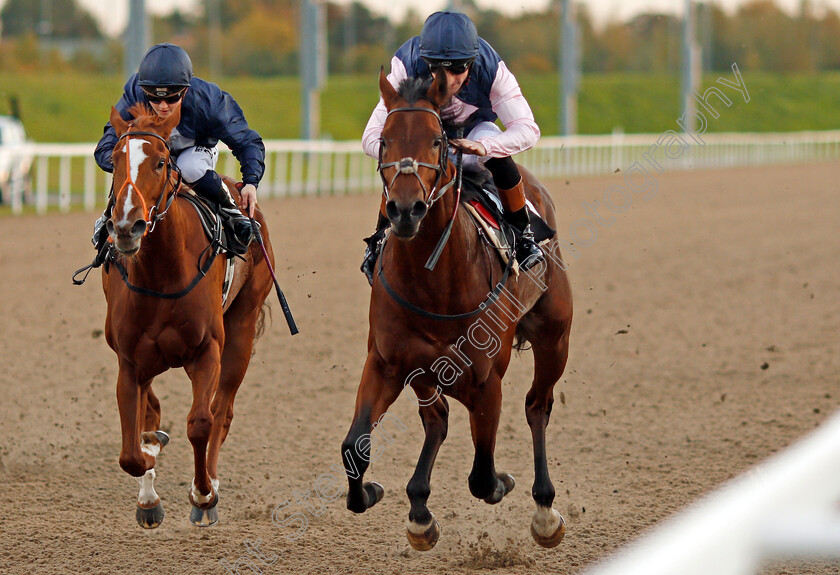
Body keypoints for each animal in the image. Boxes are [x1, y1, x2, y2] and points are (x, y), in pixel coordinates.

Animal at [101, 102, 272, 528]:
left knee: (222, 411)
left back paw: (209, 481)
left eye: (160, 162)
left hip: (241, 330)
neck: (162, 273)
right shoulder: (130, 359)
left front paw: (203, 494)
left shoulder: (206, 350)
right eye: (115, 160)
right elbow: (132, 448)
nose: (126, 226)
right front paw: (149, 488)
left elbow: (200, 423)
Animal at [340, 70, 572, 552]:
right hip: (425, 371)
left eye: (436, 141)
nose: (404, 210)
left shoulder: (486, 382)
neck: (434, 283)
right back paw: (419, 508)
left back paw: (545, 509)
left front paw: (504, 481)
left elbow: (482, 476)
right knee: (437, 421)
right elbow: (354, 447)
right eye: (385, 141)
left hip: (555, 337)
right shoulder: (387, 363)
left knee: (537, 406)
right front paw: (373, 493)